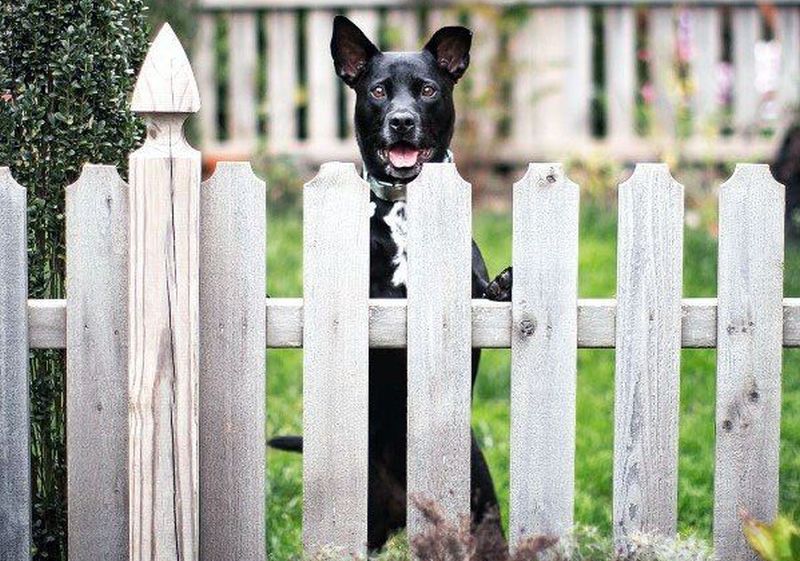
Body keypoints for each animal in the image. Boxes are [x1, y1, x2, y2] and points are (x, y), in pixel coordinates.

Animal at [272, 16, 512, 552]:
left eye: (427, 90)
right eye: (378, 91)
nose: (401, 120)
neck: (404, 207)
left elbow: (482, 291)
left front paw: (504, 285)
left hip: (482, 511)